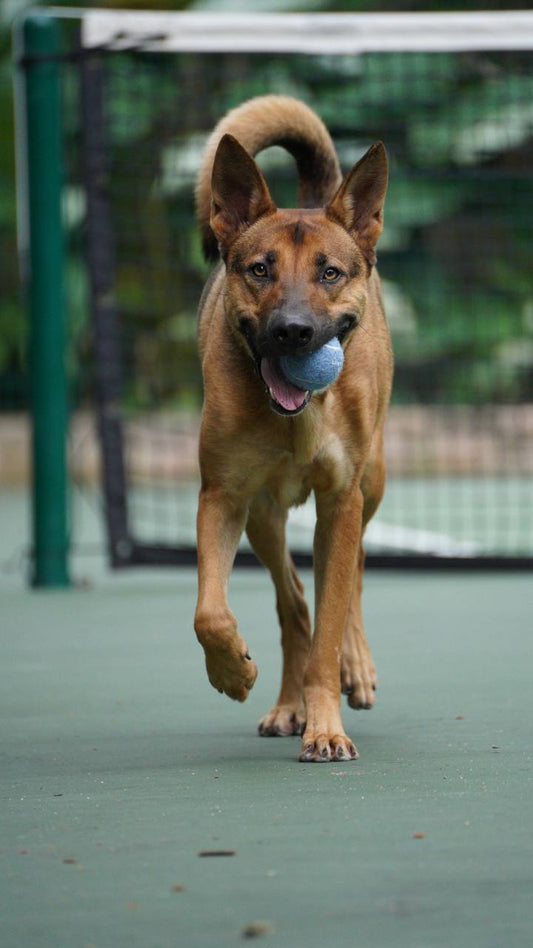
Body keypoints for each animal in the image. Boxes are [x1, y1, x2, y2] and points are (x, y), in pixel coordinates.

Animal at [193, 96, 392, 764]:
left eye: (329, 274)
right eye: (260, 270)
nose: (294, 332)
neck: (297, 418)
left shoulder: (341, 500)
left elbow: (333, 615)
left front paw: (326, 724)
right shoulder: (223, 497)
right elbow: (211, 611)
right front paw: (232, 671)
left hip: (371, 482)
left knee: (351, 579)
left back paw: (355, 668)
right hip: (265, 517)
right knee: (294, 601)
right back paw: (286, 705)